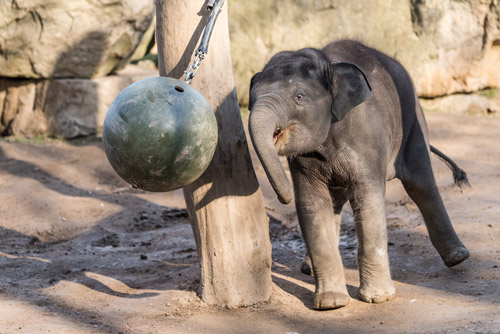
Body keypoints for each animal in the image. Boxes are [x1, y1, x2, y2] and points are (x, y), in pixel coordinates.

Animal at [248, 39, 470, 310]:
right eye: (251, 100)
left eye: (299, 96)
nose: (284, 198)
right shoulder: (302, 161)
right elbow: (311, 204)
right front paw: (331, 303)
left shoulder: (368, 137)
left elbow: (368, 200)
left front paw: (378, 298)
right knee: (334, 201)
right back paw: (307, 269)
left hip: (412, 118)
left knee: (421, 183)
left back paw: (458, 257)